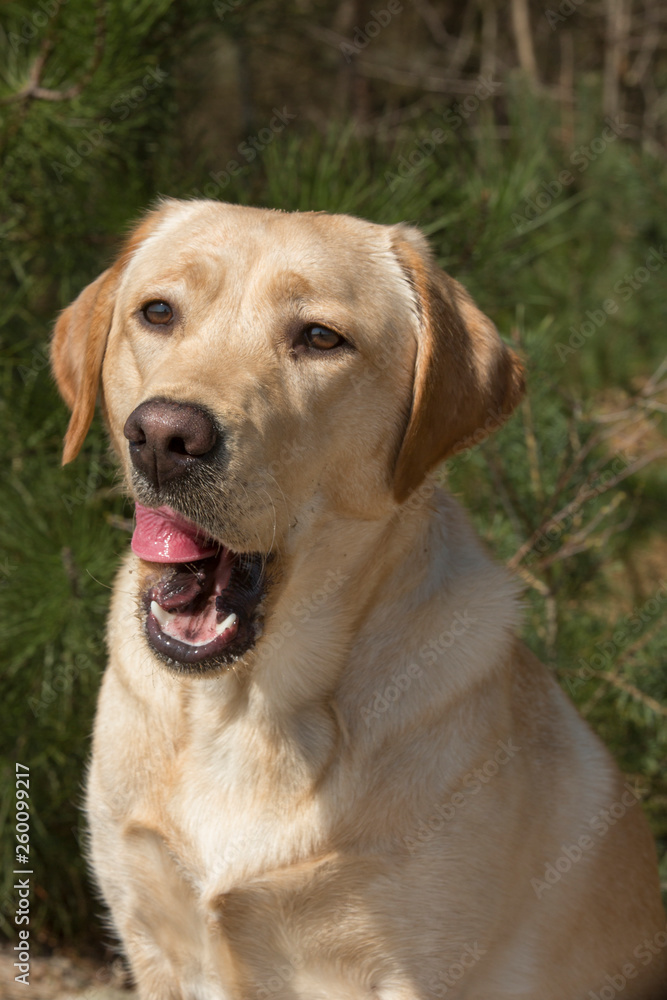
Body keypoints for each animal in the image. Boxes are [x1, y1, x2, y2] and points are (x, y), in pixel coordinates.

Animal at [51, 199, 667, 996]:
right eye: (158, 312)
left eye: (320, 338)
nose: (162, 436)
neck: (247, 712)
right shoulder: (153, 939)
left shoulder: (408, 971)